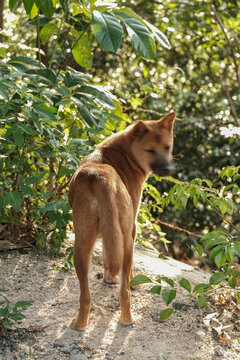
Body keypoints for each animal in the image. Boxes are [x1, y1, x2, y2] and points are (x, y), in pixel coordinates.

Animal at [68, 112, 175, 330]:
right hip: (125, 238)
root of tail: (99, 177)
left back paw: (82, 323)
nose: (168, 169)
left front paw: (109, 279)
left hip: (82, 244)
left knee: (86, 296)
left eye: (167, 147)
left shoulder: (110, 233)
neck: (125, 153)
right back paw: (124, 319)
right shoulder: (131, 227)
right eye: (150, 150)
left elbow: (108, 256)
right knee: (124, 291)